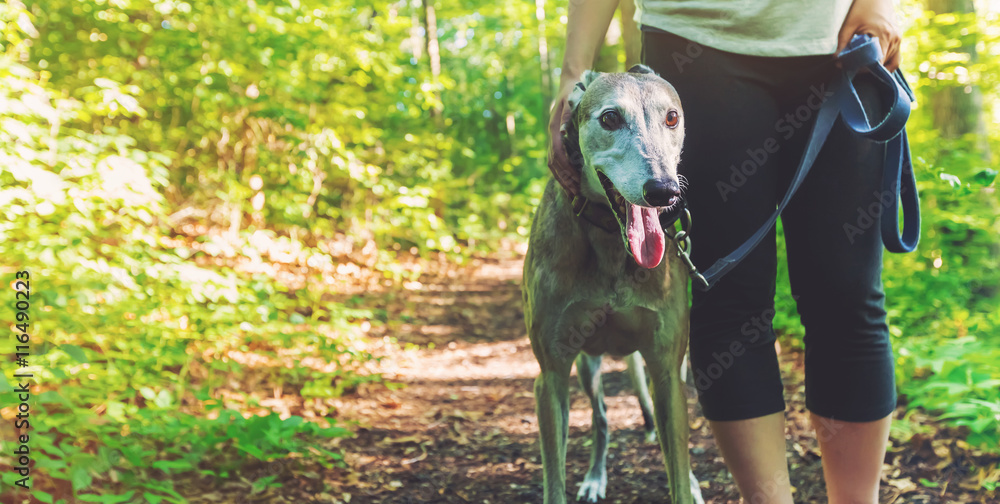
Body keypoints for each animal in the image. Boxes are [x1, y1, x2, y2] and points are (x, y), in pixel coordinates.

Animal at [524, 65, 704, 502]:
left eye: (672, 117)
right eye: (609, 118)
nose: (663, 191)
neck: (611, 242)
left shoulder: (667, 371)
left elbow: (677, 471)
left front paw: (687, 482)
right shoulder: (551, 376)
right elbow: (554, 481)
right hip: (587, 366)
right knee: (602, 420)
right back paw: (594, 478)